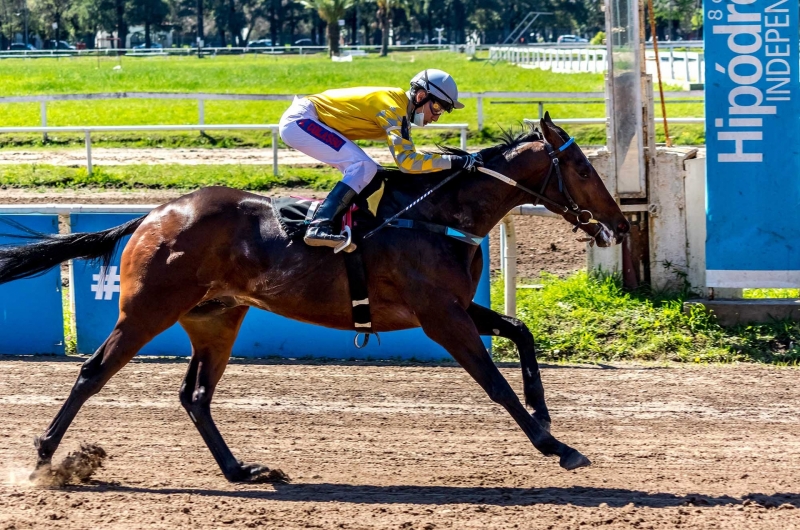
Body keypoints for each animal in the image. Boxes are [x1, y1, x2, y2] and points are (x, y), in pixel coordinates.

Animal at [0, 113, 628, 480]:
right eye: (580, 165)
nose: (620, 224)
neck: (436, 216)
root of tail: (155, 214)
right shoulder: (440, 317)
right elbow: (495, 384)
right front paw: (555, 445)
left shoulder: (454, 306)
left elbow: (521, 333)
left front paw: (547, 419)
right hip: (148, 310)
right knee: (92, 373)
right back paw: (46, 457)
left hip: (217, 318)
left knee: (195, 396)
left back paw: (241, 471)